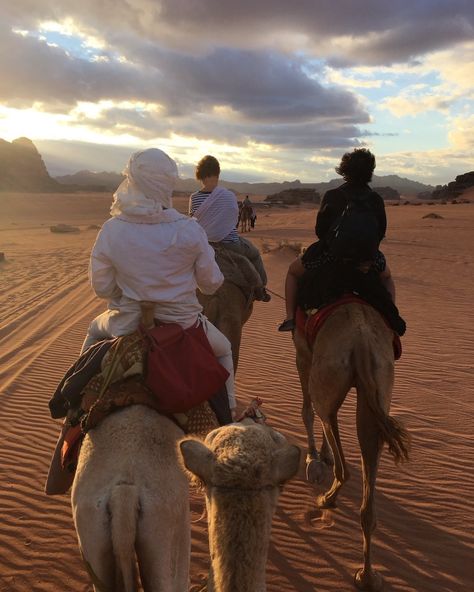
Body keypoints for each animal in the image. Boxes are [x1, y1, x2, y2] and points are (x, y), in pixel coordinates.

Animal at [294, 302, 410, 588]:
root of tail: (362, 346)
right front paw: (322, 456)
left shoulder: (302, 352)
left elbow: (306, 410)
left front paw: (314, 457)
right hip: (380, 384)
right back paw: (367, 576)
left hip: (326, 377)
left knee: (324, 416)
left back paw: (327, 497)